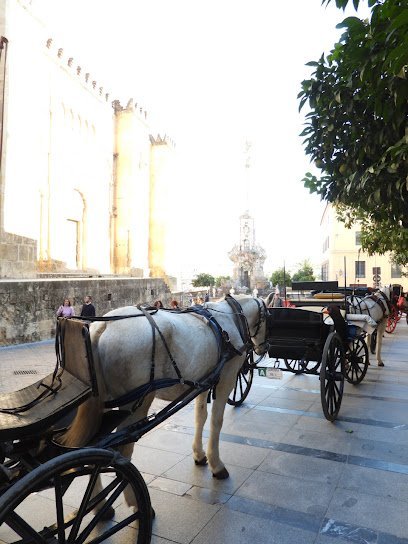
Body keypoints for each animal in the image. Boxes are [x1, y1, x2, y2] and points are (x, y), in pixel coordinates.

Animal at [59, 296, 266, 508]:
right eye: (268, 317)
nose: (263, 348)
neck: (230, 316)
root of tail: (100, 327)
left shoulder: (204, 381)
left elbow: (200, 417)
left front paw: (199, 455)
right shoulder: (227, 378)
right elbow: (216, 421)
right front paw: (216, 464)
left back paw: (98, 504)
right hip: (137, 403)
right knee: (122, 449)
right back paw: (133, 502)